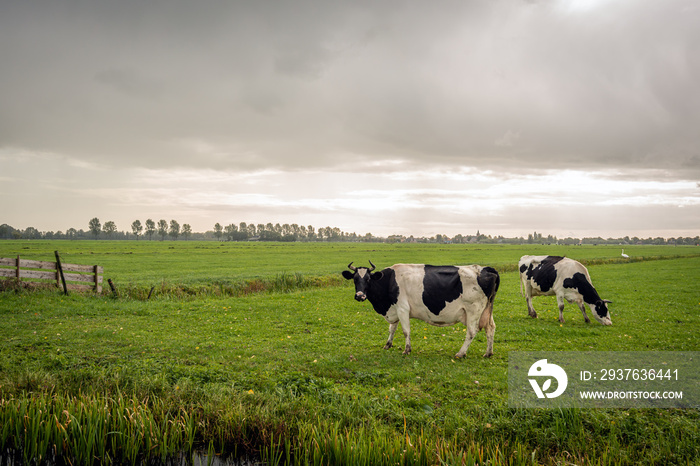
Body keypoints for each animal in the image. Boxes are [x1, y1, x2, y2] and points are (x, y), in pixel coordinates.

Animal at [342, 262, 500, 356]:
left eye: (368, 279)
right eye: (355, 279)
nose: (360, 296)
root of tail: (485, 268)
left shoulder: (402, 308)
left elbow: (406, 331)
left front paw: (407, 350)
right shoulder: (394, 309)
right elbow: (392, 329)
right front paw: (387, 345)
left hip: (473, 310)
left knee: (472, 331)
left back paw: (460, 353)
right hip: (486, 309)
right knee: (491, 328)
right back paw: (488, 353)